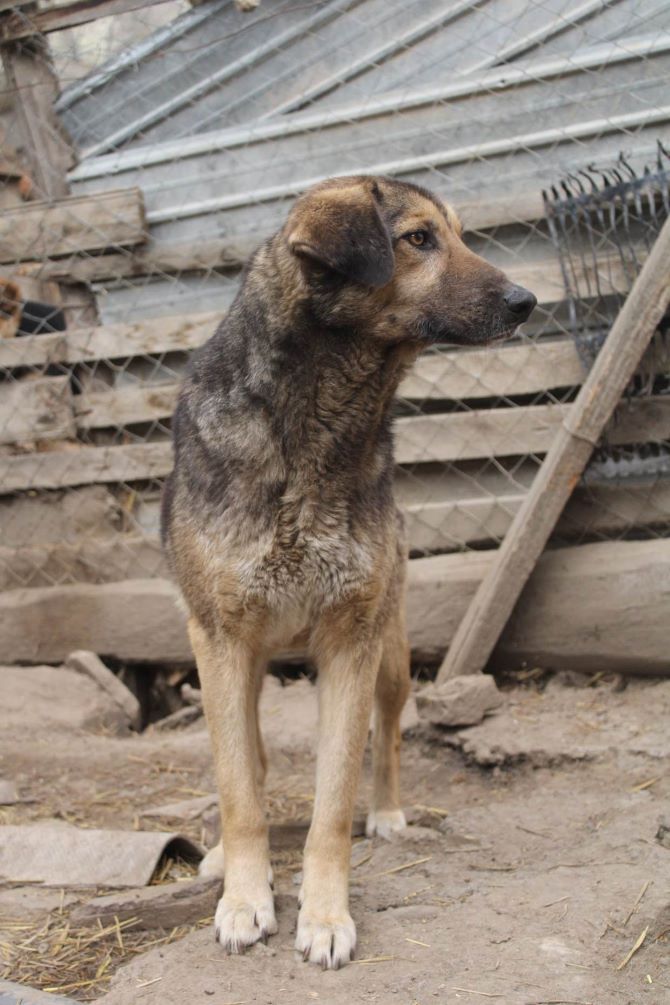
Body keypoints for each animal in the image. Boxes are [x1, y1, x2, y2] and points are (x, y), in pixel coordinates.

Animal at [160, 176, 534, 968]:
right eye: (419, 238)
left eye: (461, 235)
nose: (527, 300)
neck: (318, 428)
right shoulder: (221, 640)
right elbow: (239, 785)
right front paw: (244, 894)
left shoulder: (350, 642)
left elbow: (332, 802)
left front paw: (326, 914)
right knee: (252, 755)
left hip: (388, 653)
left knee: (386, 735)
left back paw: (387, 812)